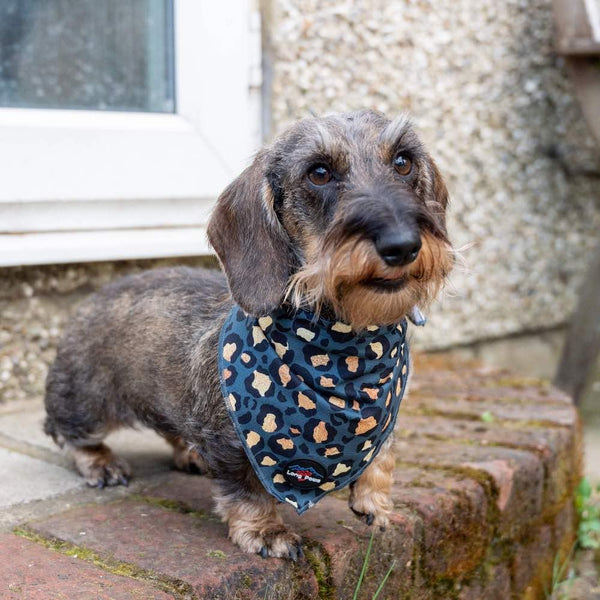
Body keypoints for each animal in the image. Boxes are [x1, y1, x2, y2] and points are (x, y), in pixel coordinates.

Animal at [44, 110, 452, 560]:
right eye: (319, 172)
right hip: (85, 401)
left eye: (403, 162)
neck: (344, 352)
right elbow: (248, 490)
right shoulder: (234, 447)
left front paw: (375, 502)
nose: (403, 245)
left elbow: (382, 453)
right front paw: (266, 531)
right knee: (69, 433)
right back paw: (101, 462)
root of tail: (92, 299)